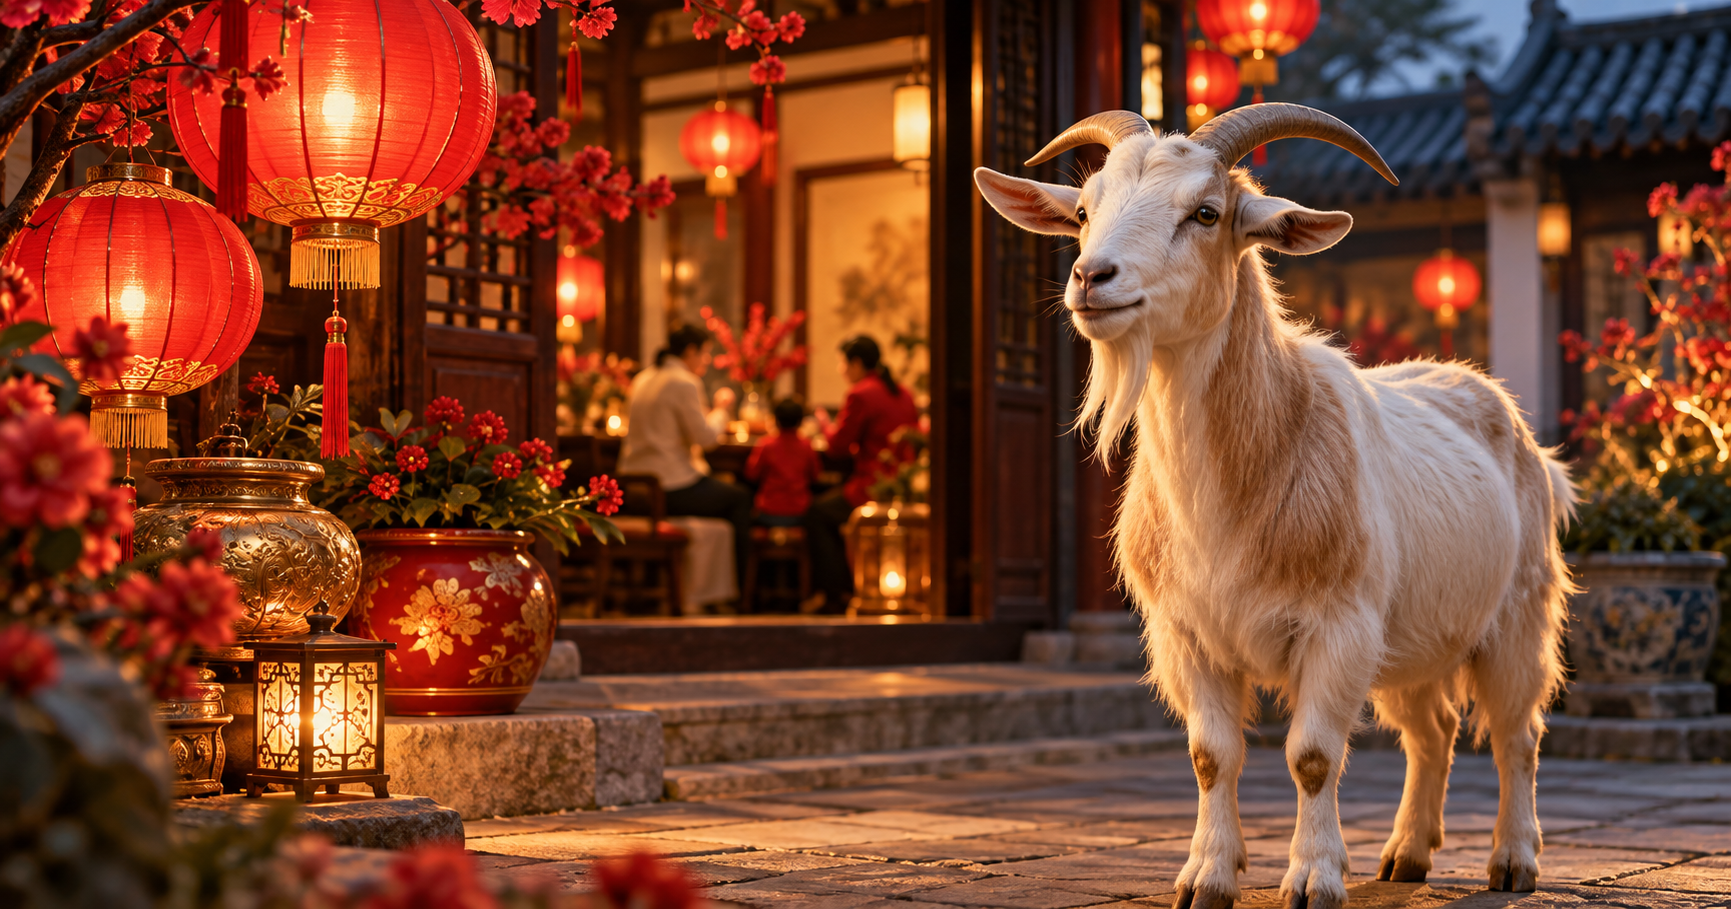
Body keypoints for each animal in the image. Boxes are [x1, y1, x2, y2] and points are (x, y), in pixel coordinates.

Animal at [976, 106, 1572, 909]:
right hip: (1412, 637)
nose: (1091, 277)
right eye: (1083, 212)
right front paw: (1206, 876)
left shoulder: (1339, 625)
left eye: (1205, 212)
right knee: (1433, 729)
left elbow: (1312, 755)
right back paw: (1406, 855)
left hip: (1516, 613)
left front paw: (1314, 877)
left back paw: (1512, 861)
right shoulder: (1185, 633)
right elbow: (1210, 754)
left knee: (1516, 733)